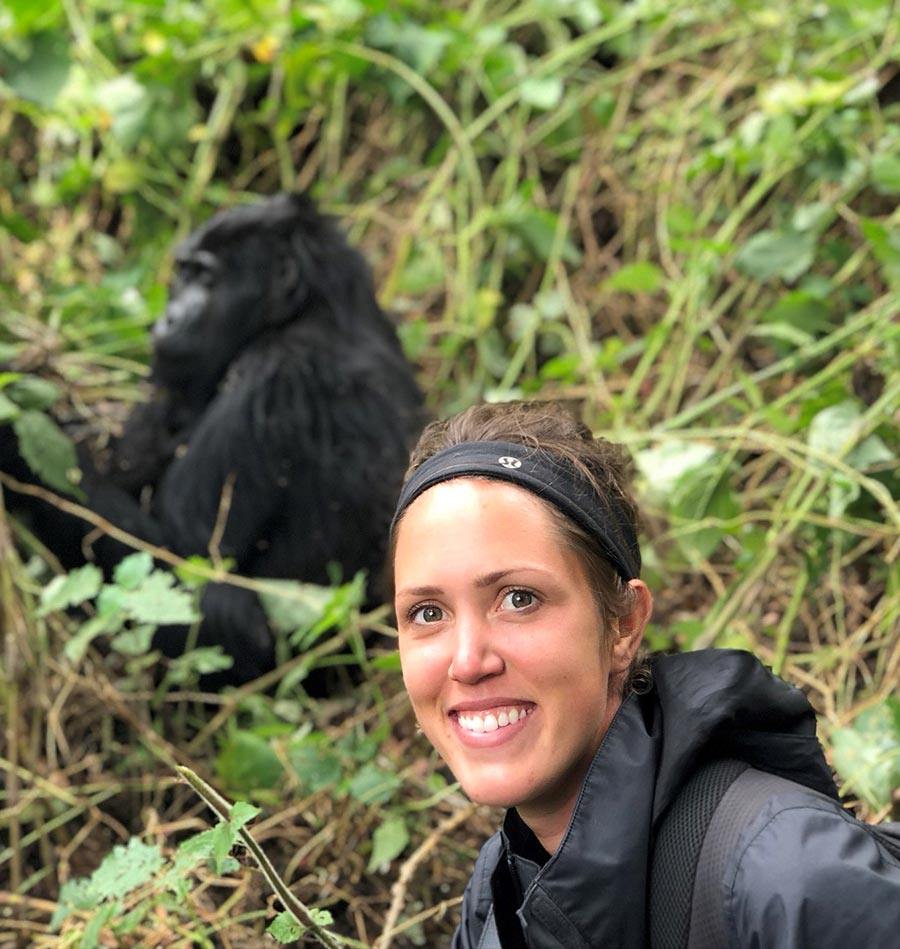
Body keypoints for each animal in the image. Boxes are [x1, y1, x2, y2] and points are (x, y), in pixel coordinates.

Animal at [1, 193, 424, 680]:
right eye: (182, 275)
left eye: (205, 277)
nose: (165, 319)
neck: (316, 309)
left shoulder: (276, 378)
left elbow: (186, 565)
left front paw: (11, 437)